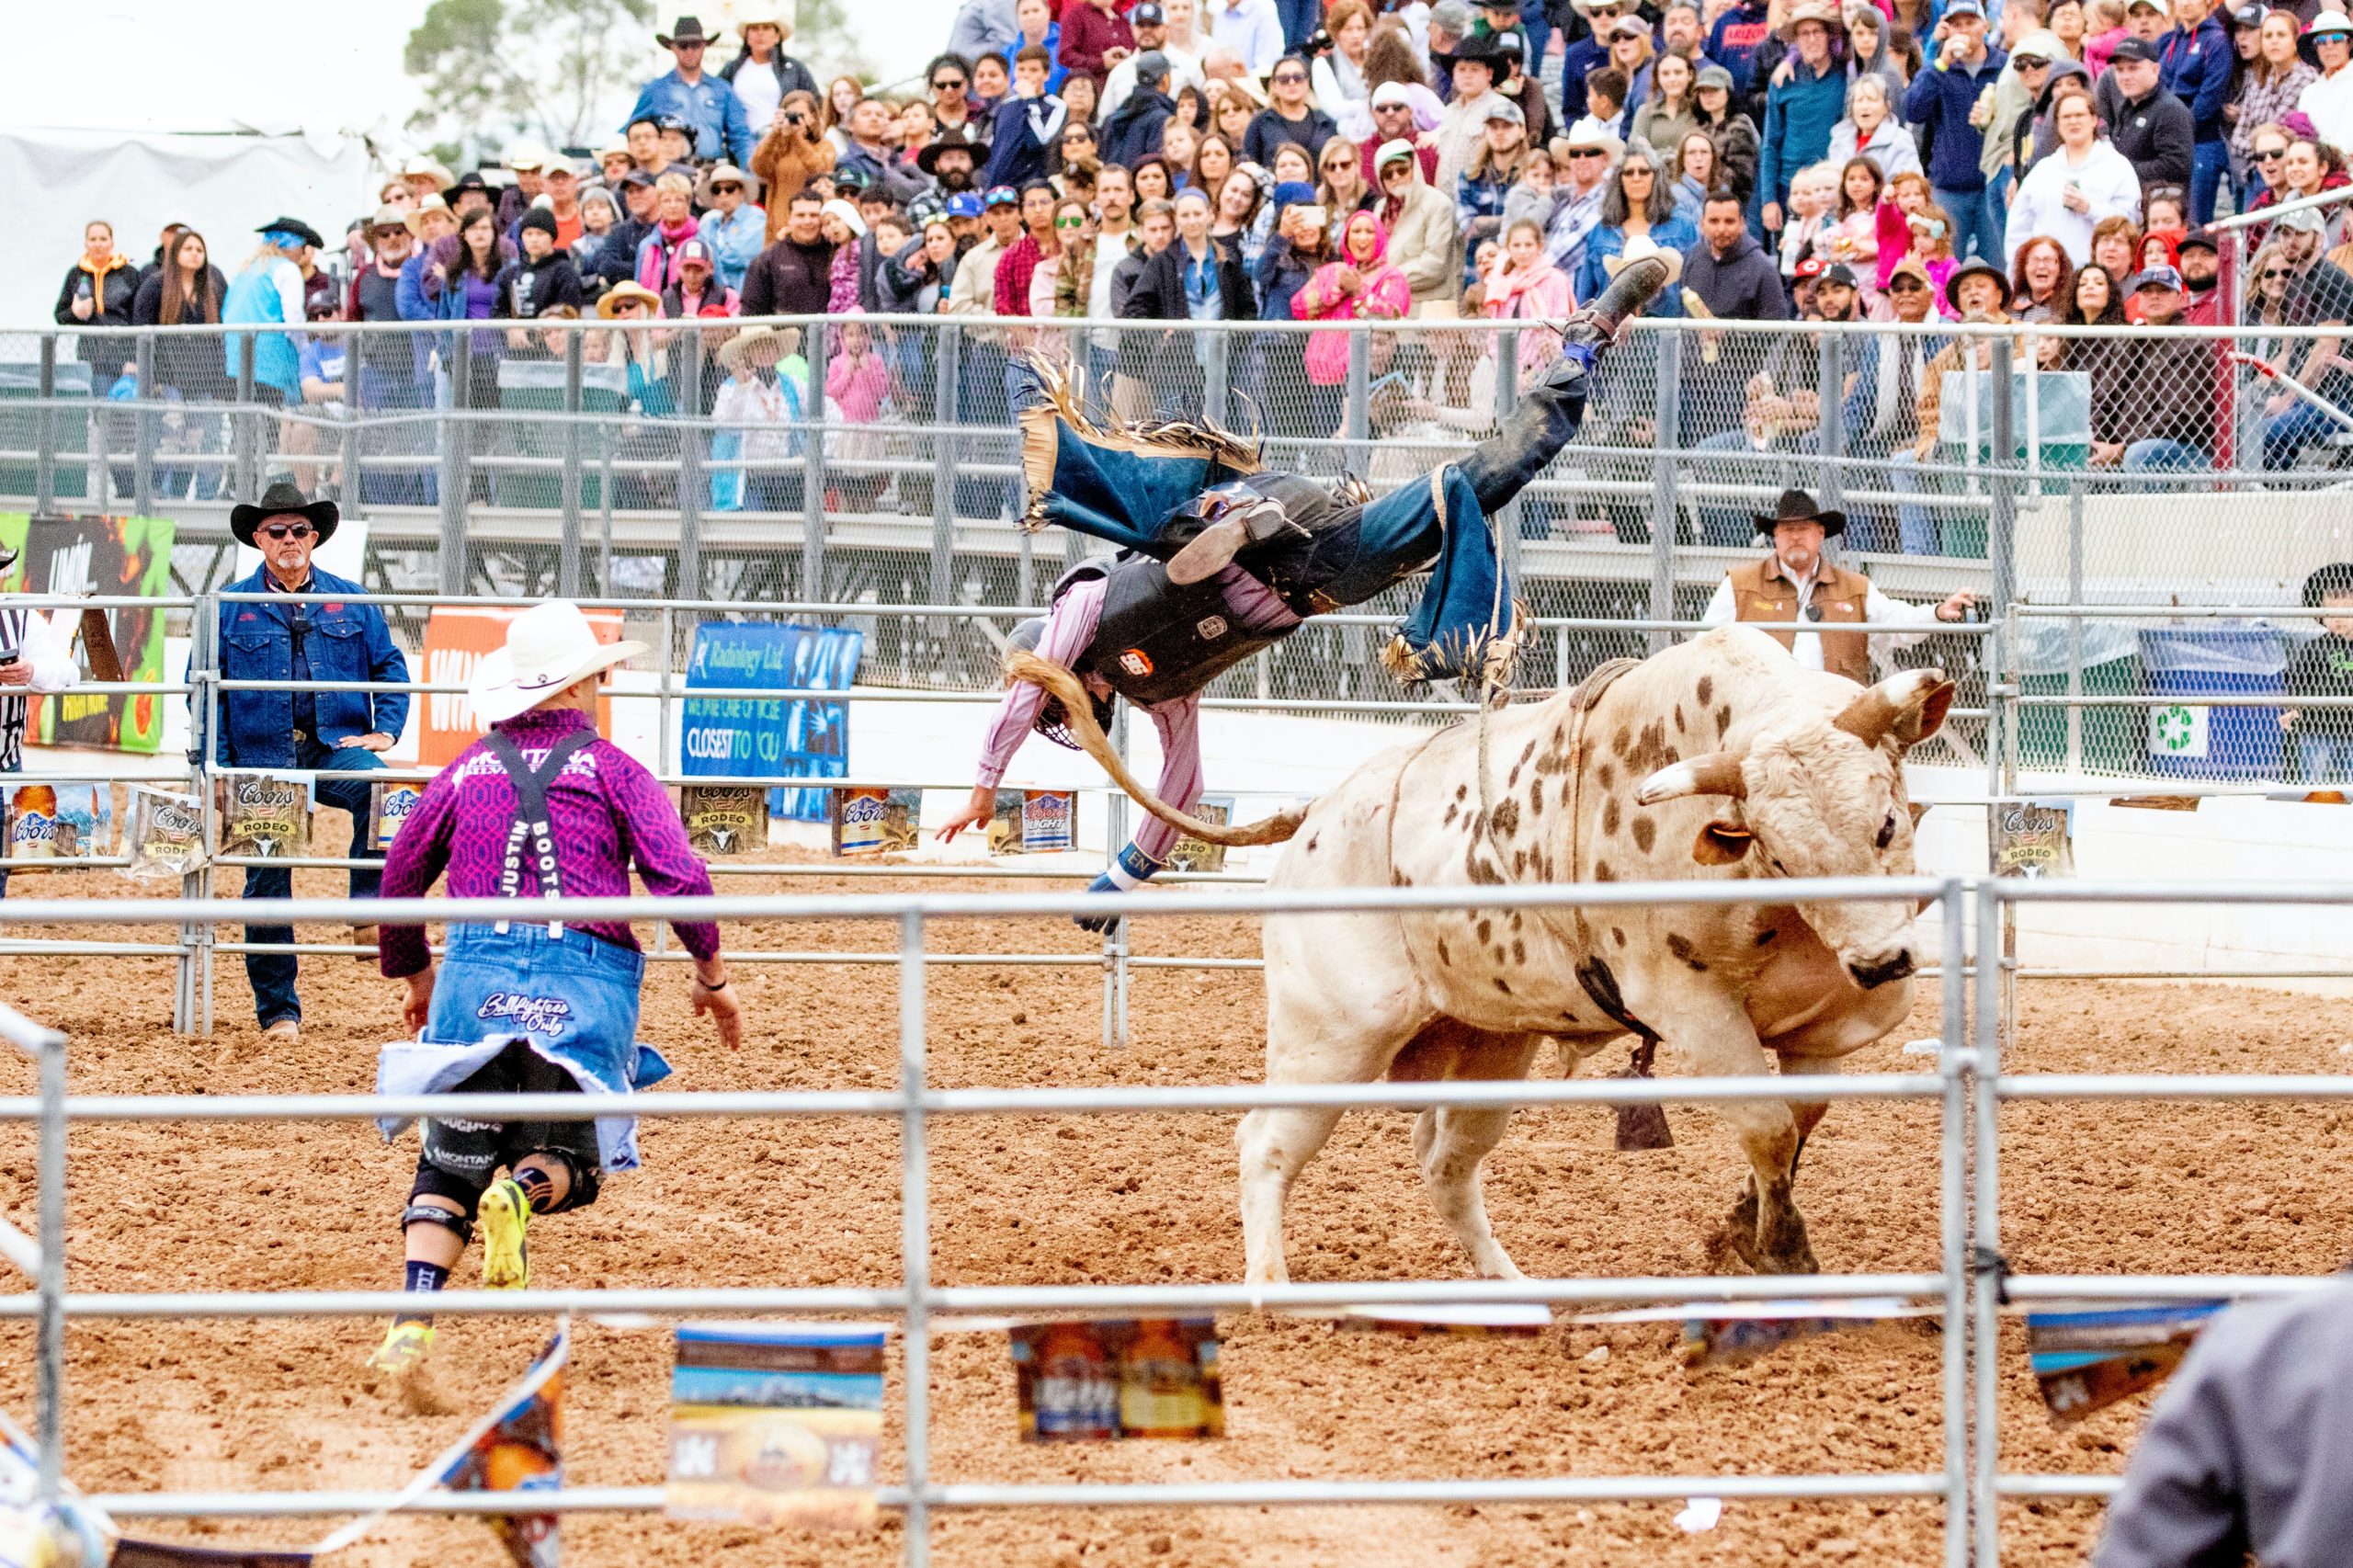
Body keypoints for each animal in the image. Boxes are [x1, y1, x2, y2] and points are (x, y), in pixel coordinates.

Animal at [1233, 621, 1948, 1280]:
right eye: (1779, 854)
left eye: (1887, 823)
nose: (1882, 964)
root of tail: (1314, 815)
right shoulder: (1694, 1012)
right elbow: (1768, 1128)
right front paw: (1782, 1252)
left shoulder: (1819, 1031)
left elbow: (1801, 1118)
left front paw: (1743, 1230)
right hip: (1331, 1042)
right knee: (1264, 1145)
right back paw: (1273, 1292)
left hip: (1489, 1047)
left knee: (1447, 1163)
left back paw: (1512, 1289)